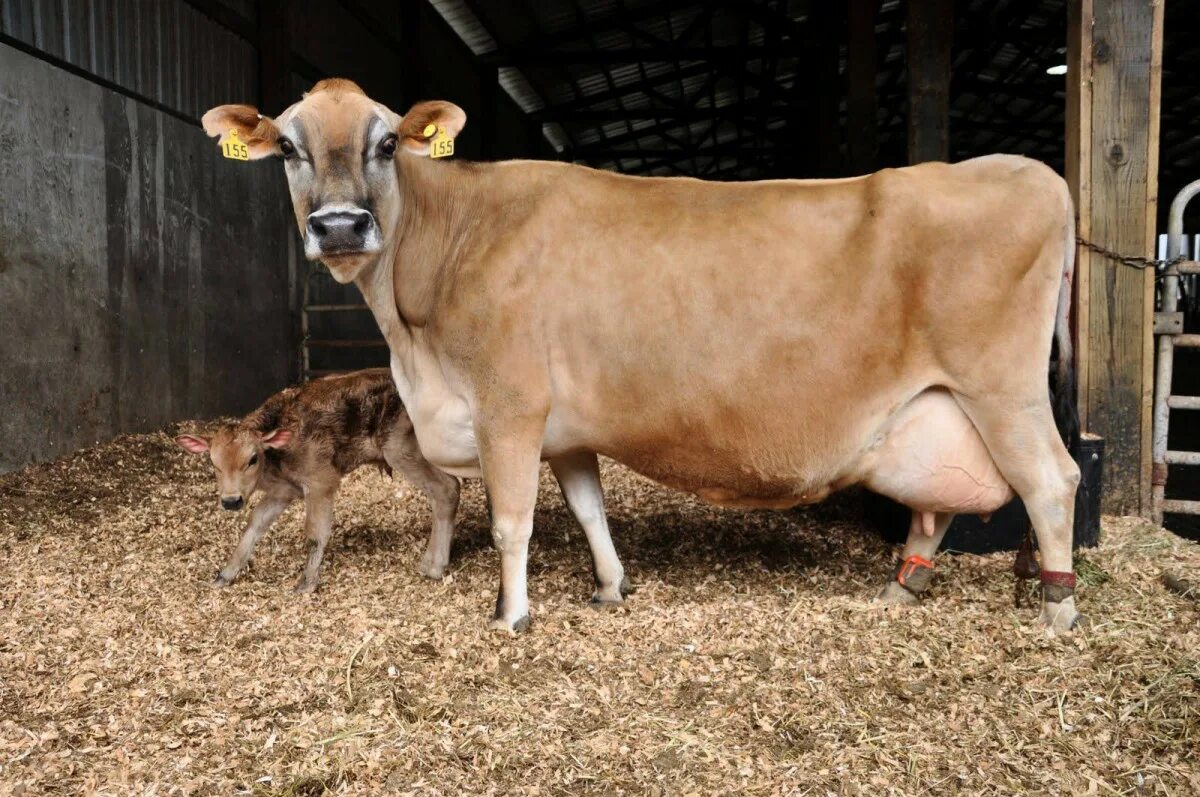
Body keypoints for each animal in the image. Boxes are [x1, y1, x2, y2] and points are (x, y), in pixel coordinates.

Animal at [175, 369, 458, 590]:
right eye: (214, 463)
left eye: (252, 459)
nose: (231, 501)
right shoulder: (284, 491)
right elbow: (255, 523)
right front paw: (226, 573)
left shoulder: (321, 482)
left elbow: (314, 532)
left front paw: (307, 582)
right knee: (451, 486)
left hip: (401, 450)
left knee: (446, 490)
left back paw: (433, 565)